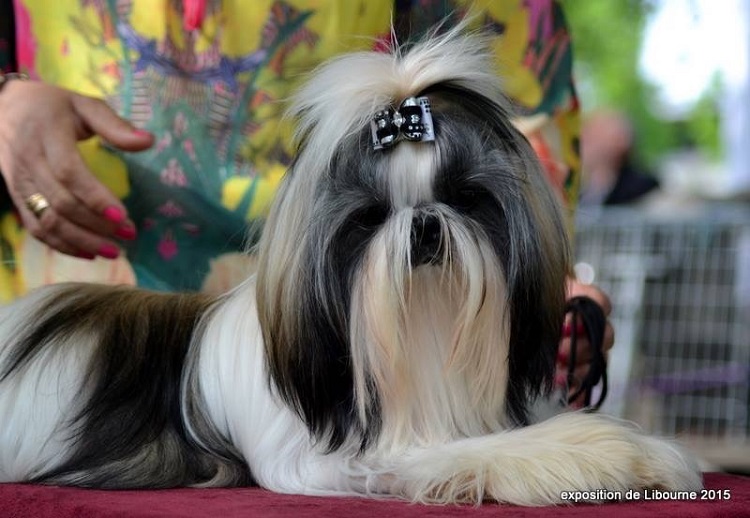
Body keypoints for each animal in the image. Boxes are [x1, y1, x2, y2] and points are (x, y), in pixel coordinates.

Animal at [0, 29, 701, 505]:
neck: (420, 340)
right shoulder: (327, 461)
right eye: (369, 217)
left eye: (465, 198)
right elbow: (469, 451)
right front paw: (605, 451)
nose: (425, 224)